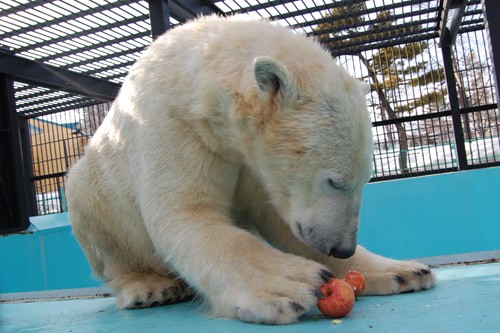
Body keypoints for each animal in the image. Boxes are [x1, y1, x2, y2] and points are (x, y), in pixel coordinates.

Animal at [65, 14, 434, 322]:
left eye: (364, 181)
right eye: (334, 181)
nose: (342, 248)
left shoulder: (252, 162)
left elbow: (280, 222)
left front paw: (405, 271)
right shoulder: (173, 123)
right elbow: (187, 214)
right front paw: (290, 283)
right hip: (96, 194)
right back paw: (151, 287)